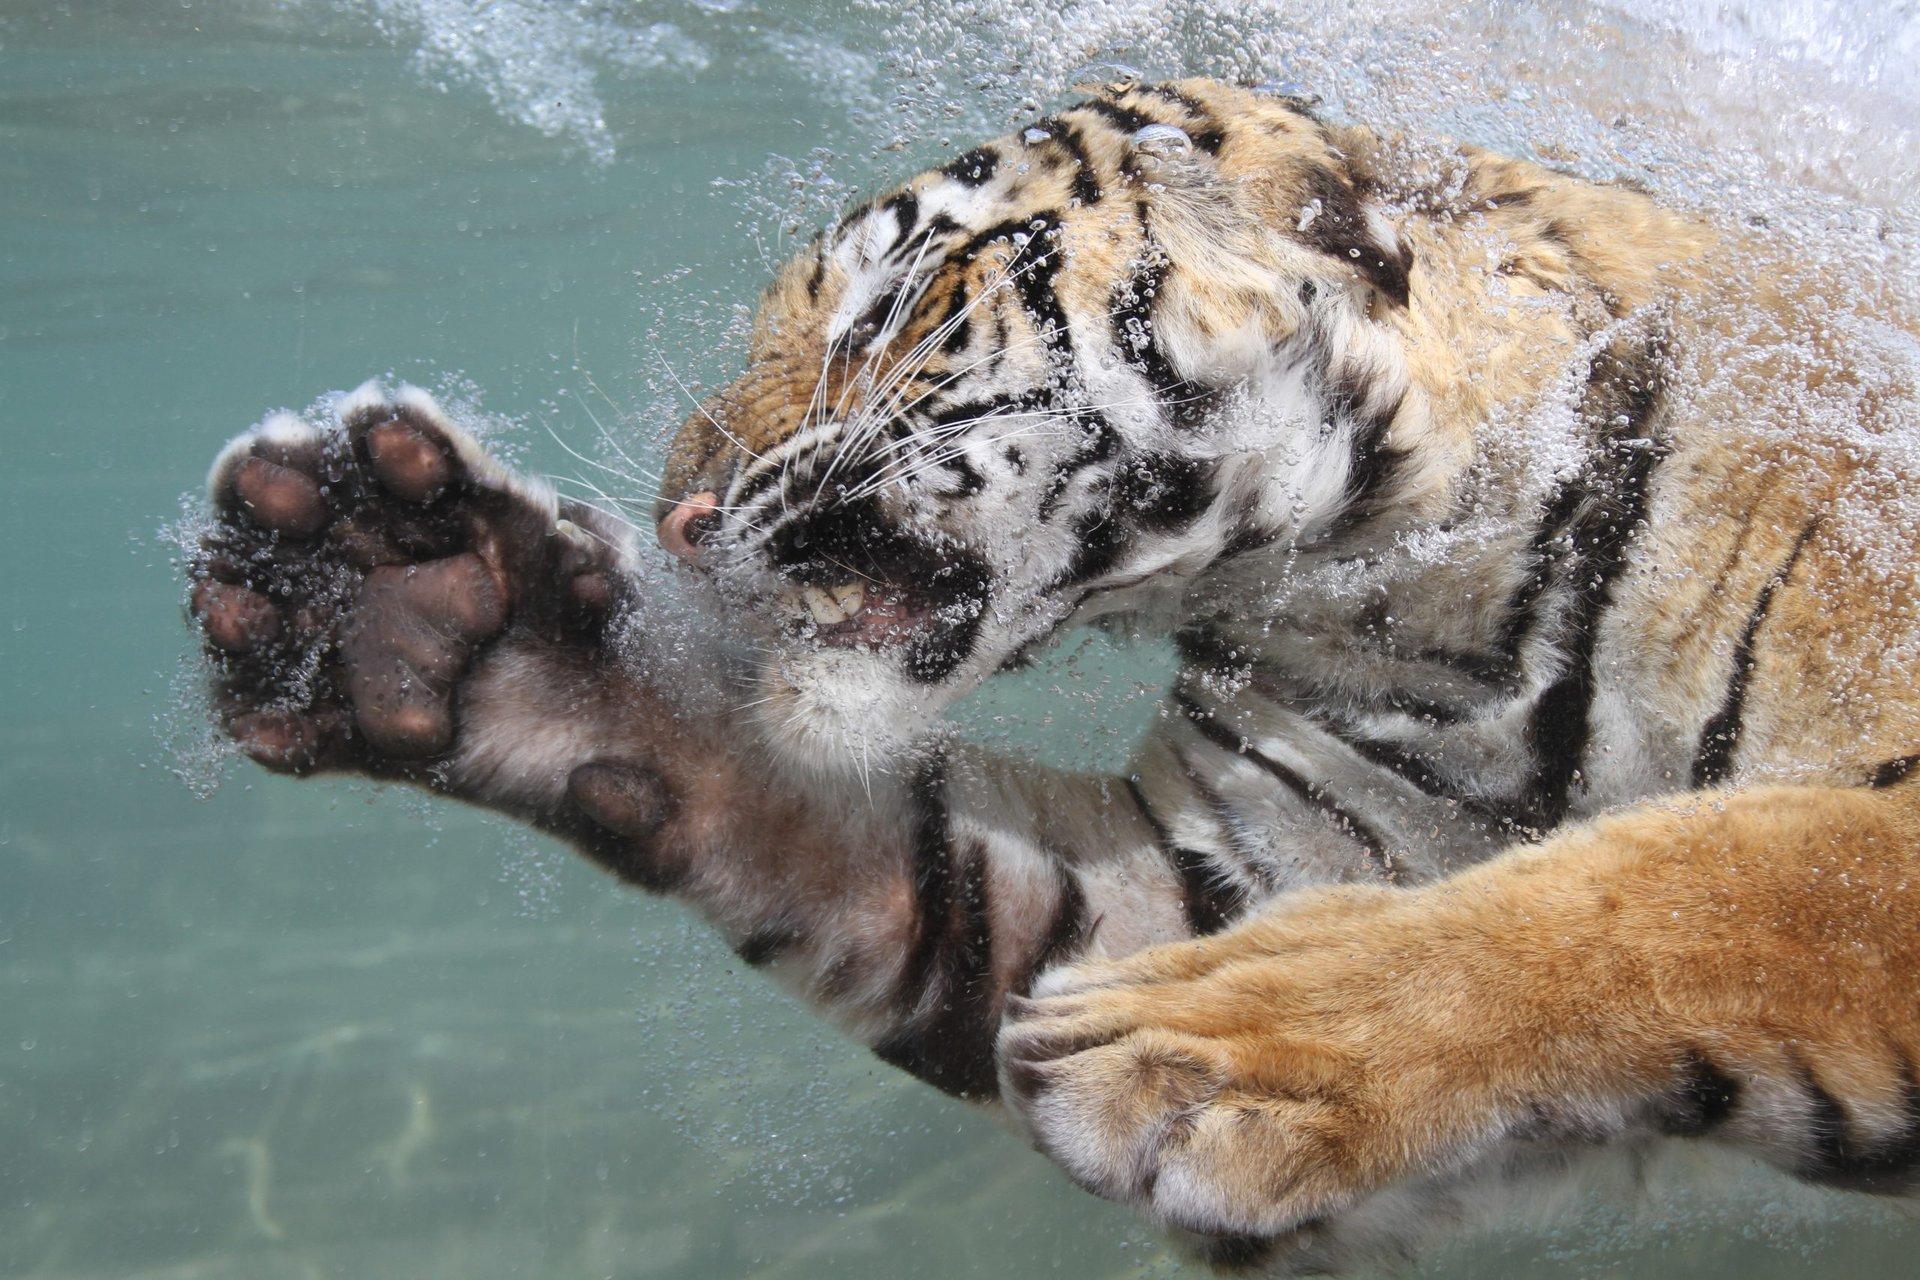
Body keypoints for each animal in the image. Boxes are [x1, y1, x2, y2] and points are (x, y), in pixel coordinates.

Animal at [183, 77, 1920, 1273]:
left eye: (888, 306)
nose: (678, 513)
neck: (1402, 591)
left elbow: (1701, 882)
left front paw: (1212, 1044)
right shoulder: (1232, 857)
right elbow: (884, 861)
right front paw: (421, 606)